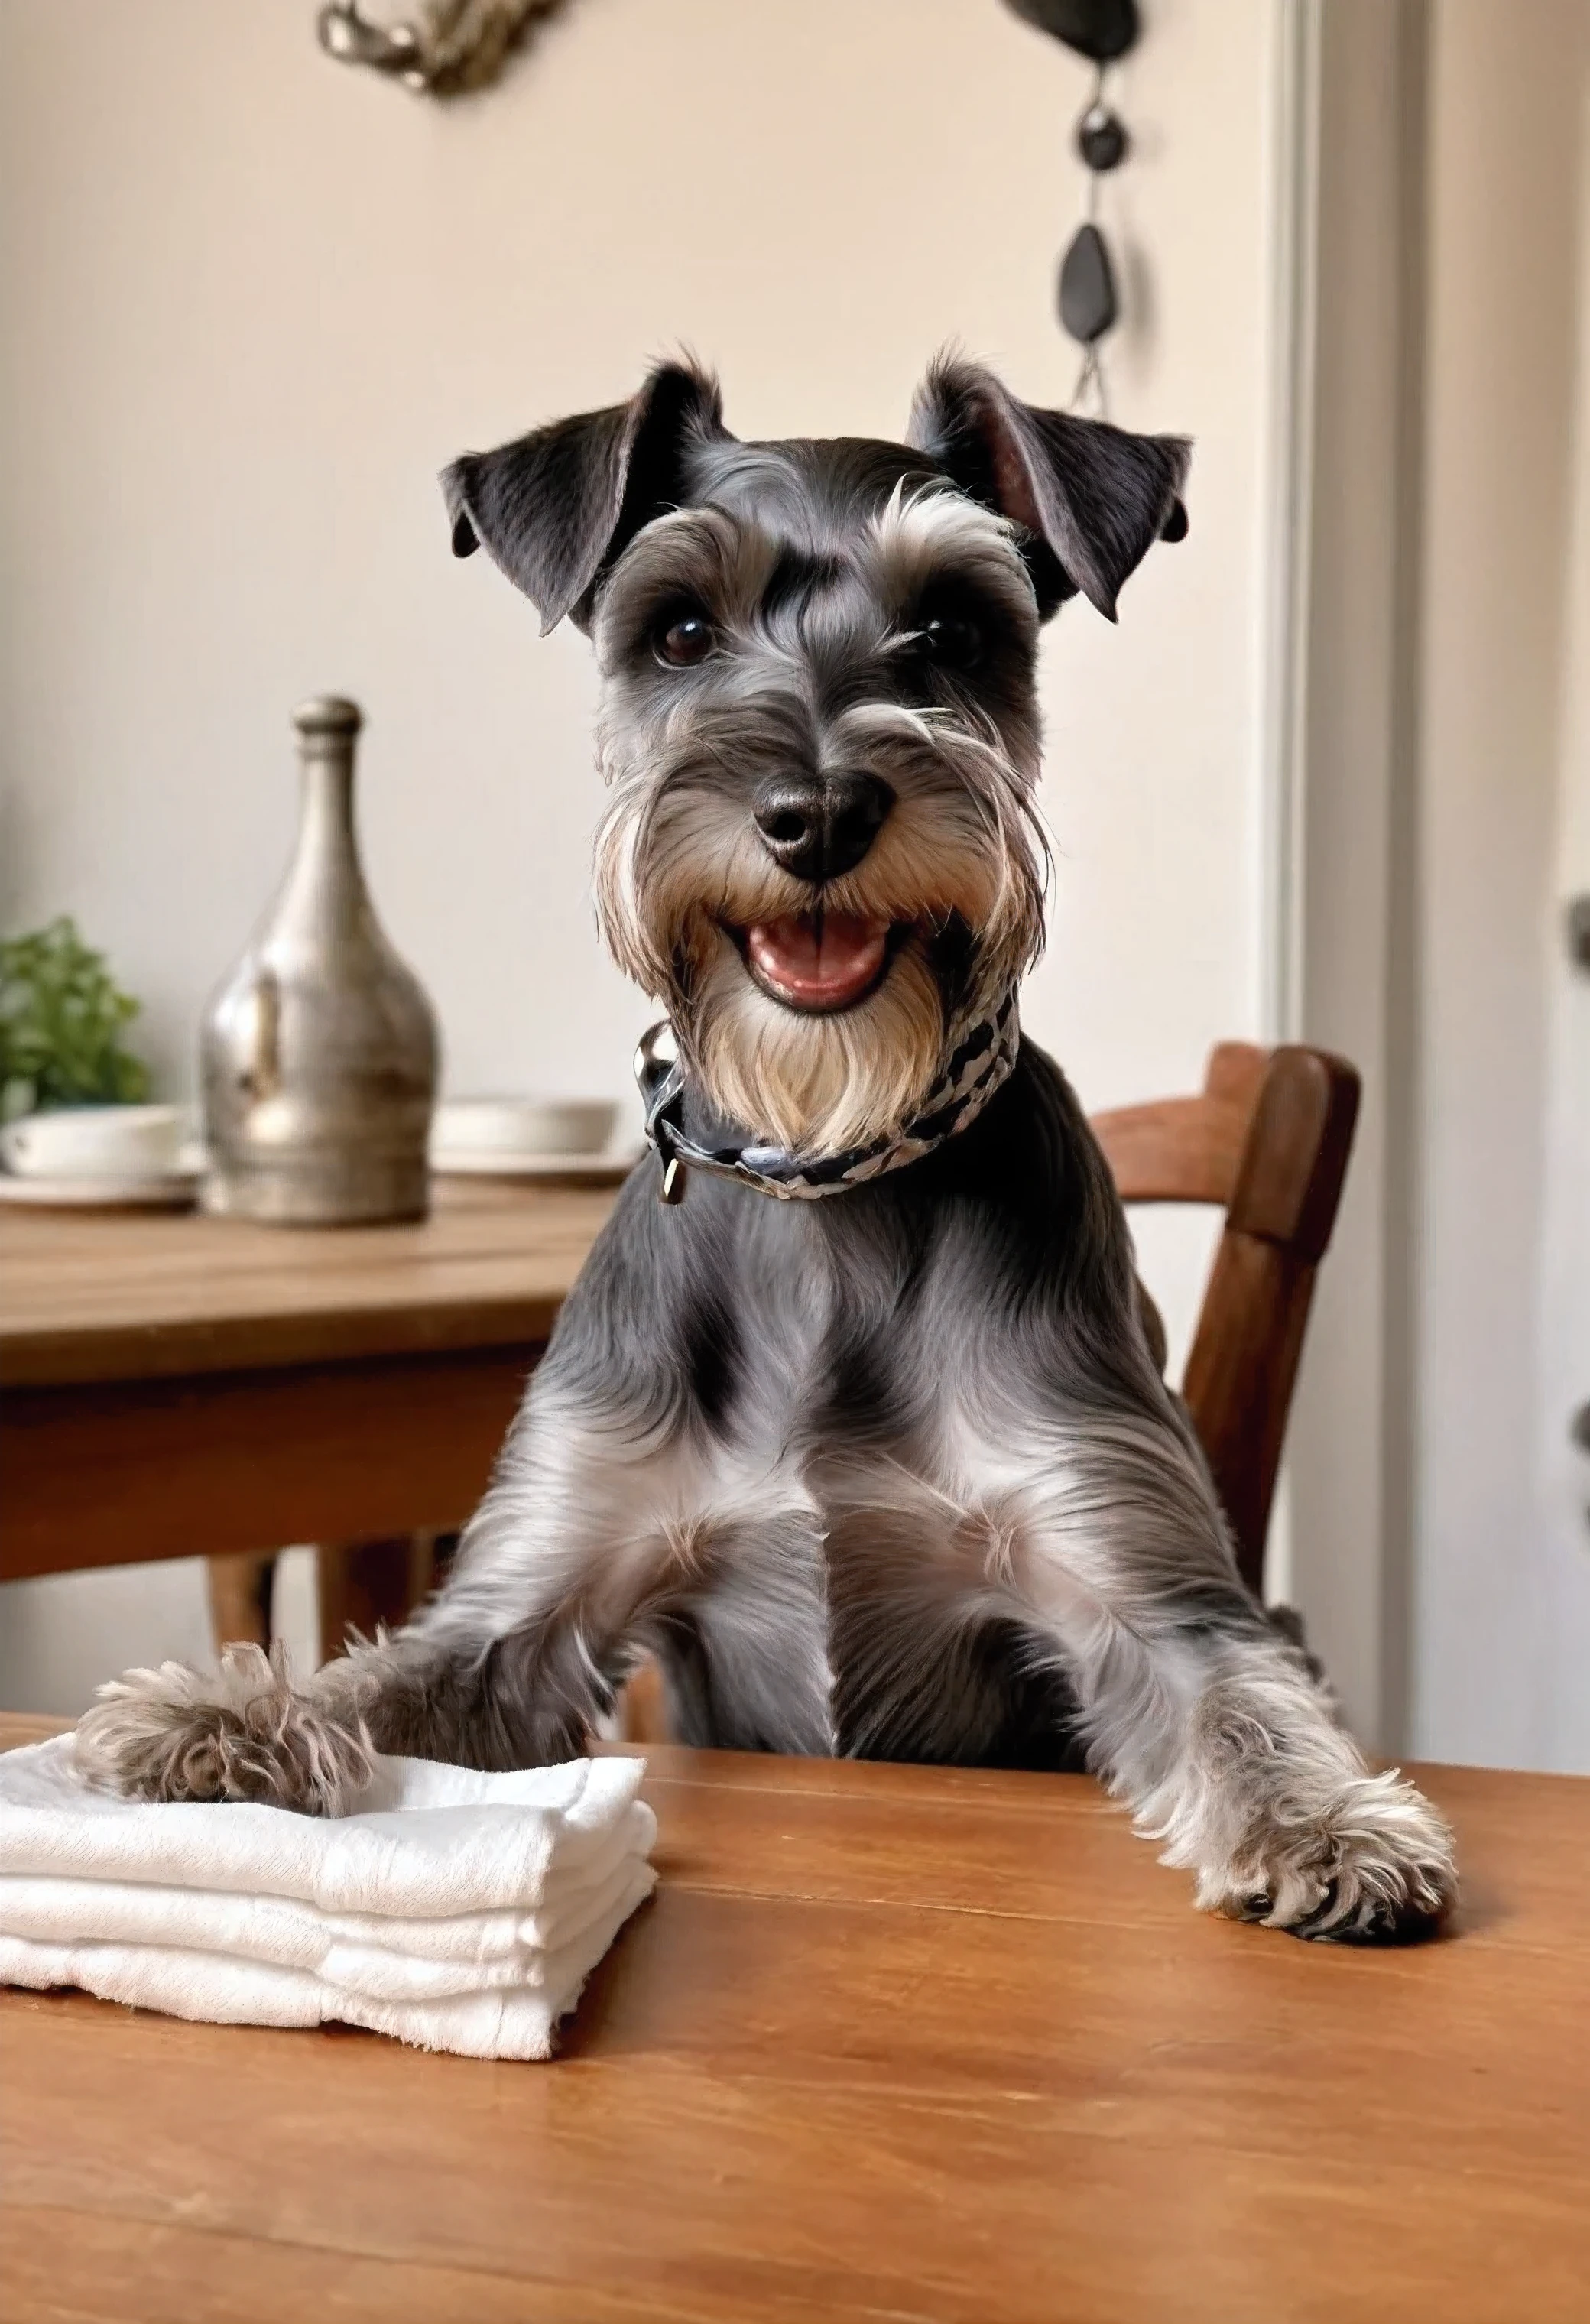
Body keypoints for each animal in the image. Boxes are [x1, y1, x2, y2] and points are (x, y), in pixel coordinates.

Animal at [80, 349, 1459, 1943]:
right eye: (679, 627)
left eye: (954, 627)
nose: (819, 811)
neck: (824, 1177)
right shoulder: (532, 1600)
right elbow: (380, 1678)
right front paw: (217, 1722)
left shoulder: (1135, 1573)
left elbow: (1244, 1703)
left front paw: (1330, 1826)